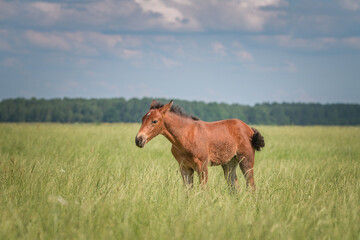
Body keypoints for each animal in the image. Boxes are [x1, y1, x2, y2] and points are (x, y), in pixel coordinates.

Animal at [135, 99, 264, 189]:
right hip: (229, 164)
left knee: (251, 185)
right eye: (142, 119)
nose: (139, 140)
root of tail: (250, 129)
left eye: (154, 121)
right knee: (234, 187)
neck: (185, 135)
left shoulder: (202, 166)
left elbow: (203, 190)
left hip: (246, 160)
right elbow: (188, 191)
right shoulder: (185, 167)